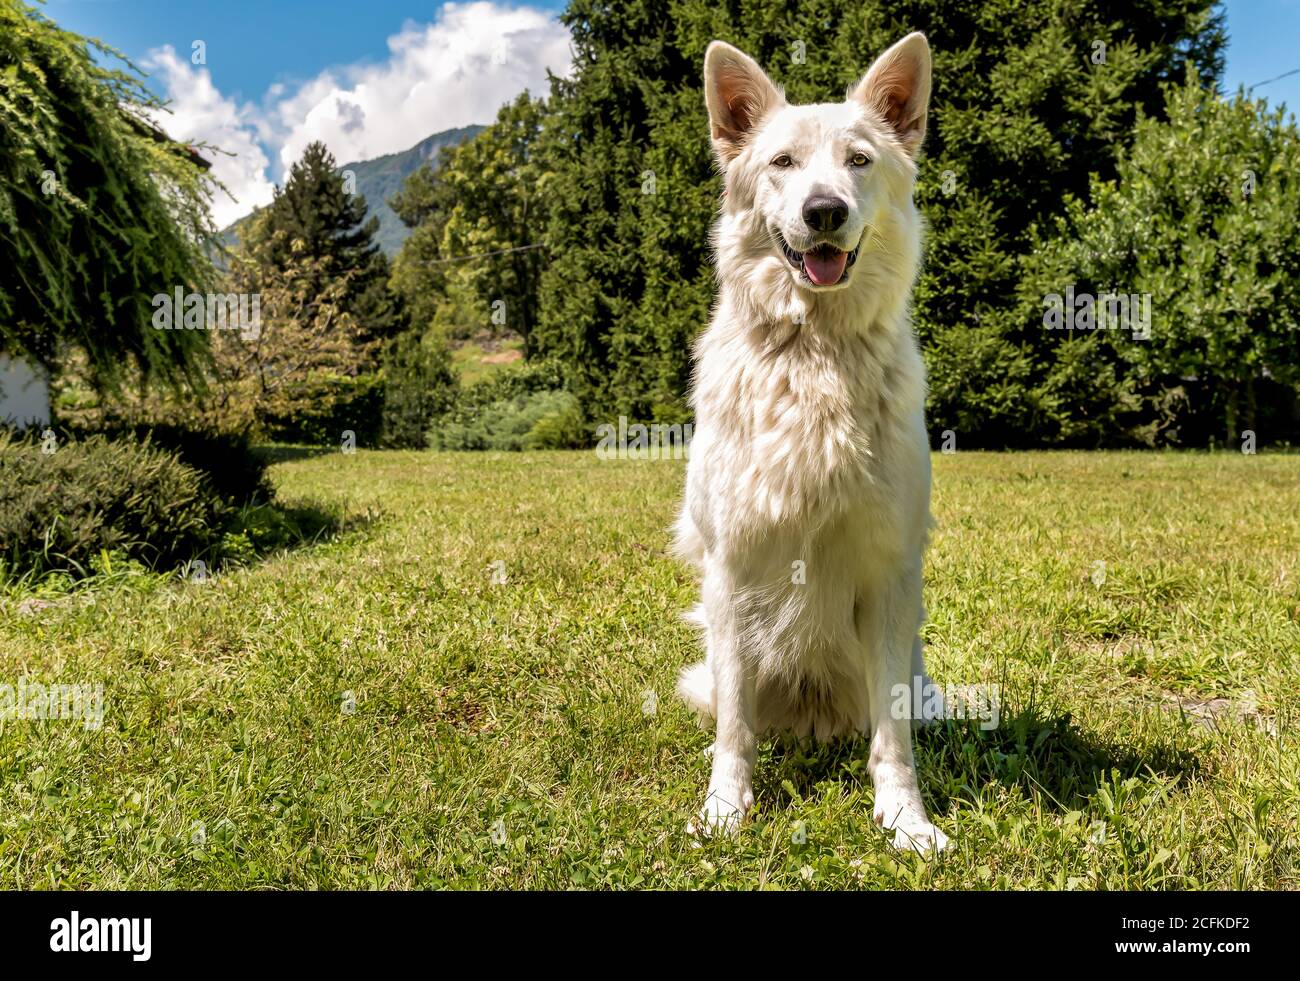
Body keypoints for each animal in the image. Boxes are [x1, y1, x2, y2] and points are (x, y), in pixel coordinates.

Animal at [676, 32, 951, 852]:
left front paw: (905, 819)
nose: (823, 210)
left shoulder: (890, 574)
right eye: (783, 162)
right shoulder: (732, 569)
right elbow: (735, 729)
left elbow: (893, 737)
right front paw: (726, 808)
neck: (814, 354)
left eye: (859, 159)